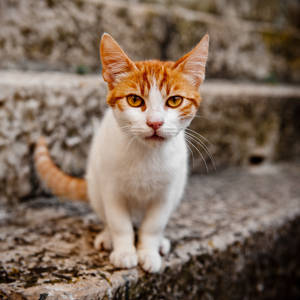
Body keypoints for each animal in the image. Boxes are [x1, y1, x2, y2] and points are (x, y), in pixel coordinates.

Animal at [35, 32, 209, 272]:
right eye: (134, 100)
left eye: (175, 100)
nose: (155, 122)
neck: (146, 155)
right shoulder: (111, 188)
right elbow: (120, 223)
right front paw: (125, 251)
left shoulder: (166, 193)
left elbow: (153, 225)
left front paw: (148, 251)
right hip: (95, 184)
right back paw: (107, 236)